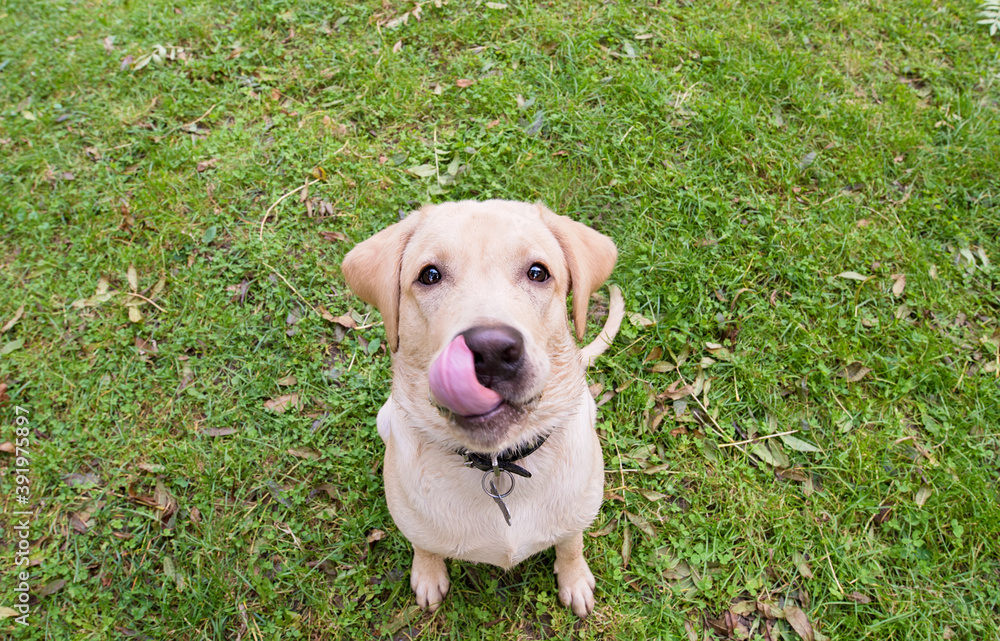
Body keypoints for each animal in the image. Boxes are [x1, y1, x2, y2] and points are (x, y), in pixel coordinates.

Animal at [344, 199, 624, 616]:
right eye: (429, 275)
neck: (496, 463)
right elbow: (424, 546)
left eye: (538, 272)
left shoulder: (578, 511)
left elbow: (571, 543)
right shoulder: (412, 519)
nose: (491, 351)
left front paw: (574, 580)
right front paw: (428, 575)